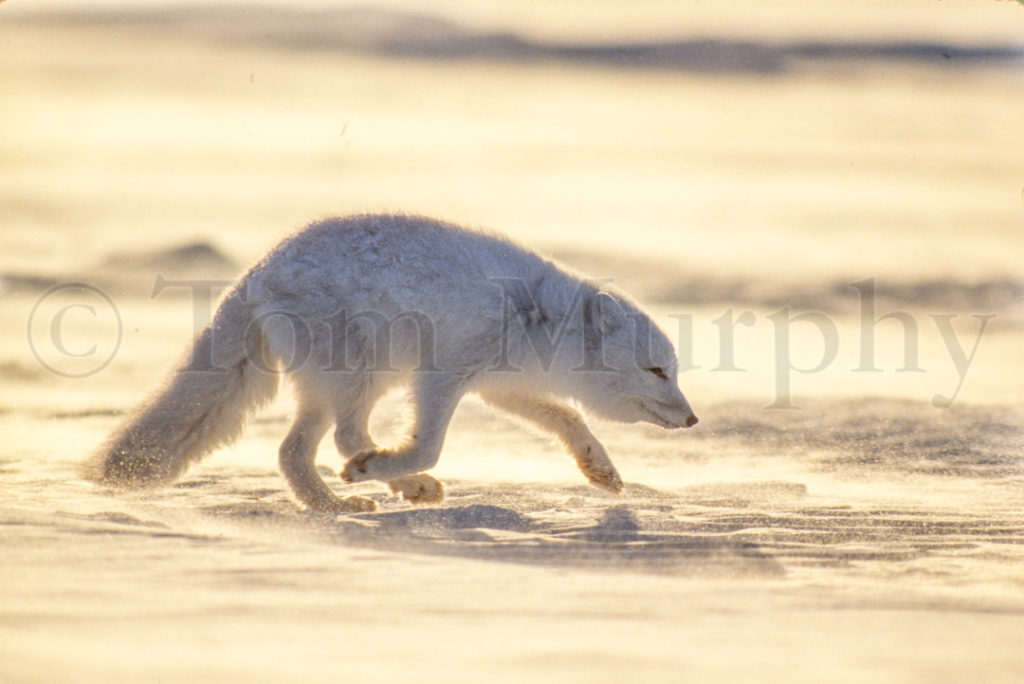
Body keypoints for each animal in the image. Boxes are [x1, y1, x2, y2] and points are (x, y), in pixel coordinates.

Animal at [88, 215, 700, 511]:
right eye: (658, 371)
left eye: (674, 371)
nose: (694, 419)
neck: (537, 318)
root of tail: (256, 273)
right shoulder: (443, 375)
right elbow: (429, 443)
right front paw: (392, 468)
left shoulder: (501, 386)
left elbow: (569, 419)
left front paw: (602, 470)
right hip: (365, 372)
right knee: (341, 439)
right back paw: (384, 481)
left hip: (333, 385)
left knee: (294, 451)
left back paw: (340, 505)